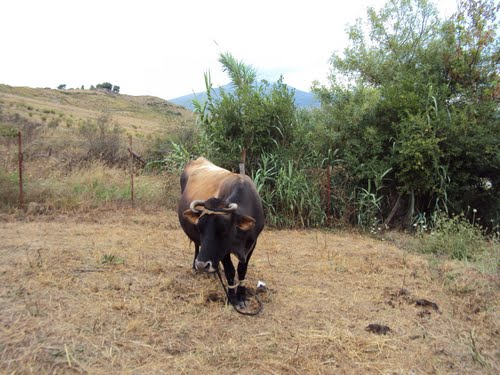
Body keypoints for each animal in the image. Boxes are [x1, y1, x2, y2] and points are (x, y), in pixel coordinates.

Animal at [179, 158, 266, 308]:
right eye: (200, 228)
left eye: (224, 229)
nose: (201, 265)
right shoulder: (224, 251)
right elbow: (230, 271)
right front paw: (232, 298)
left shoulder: (252, 243)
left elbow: (242, 270)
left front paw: (241, 296)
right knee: (196, 245)